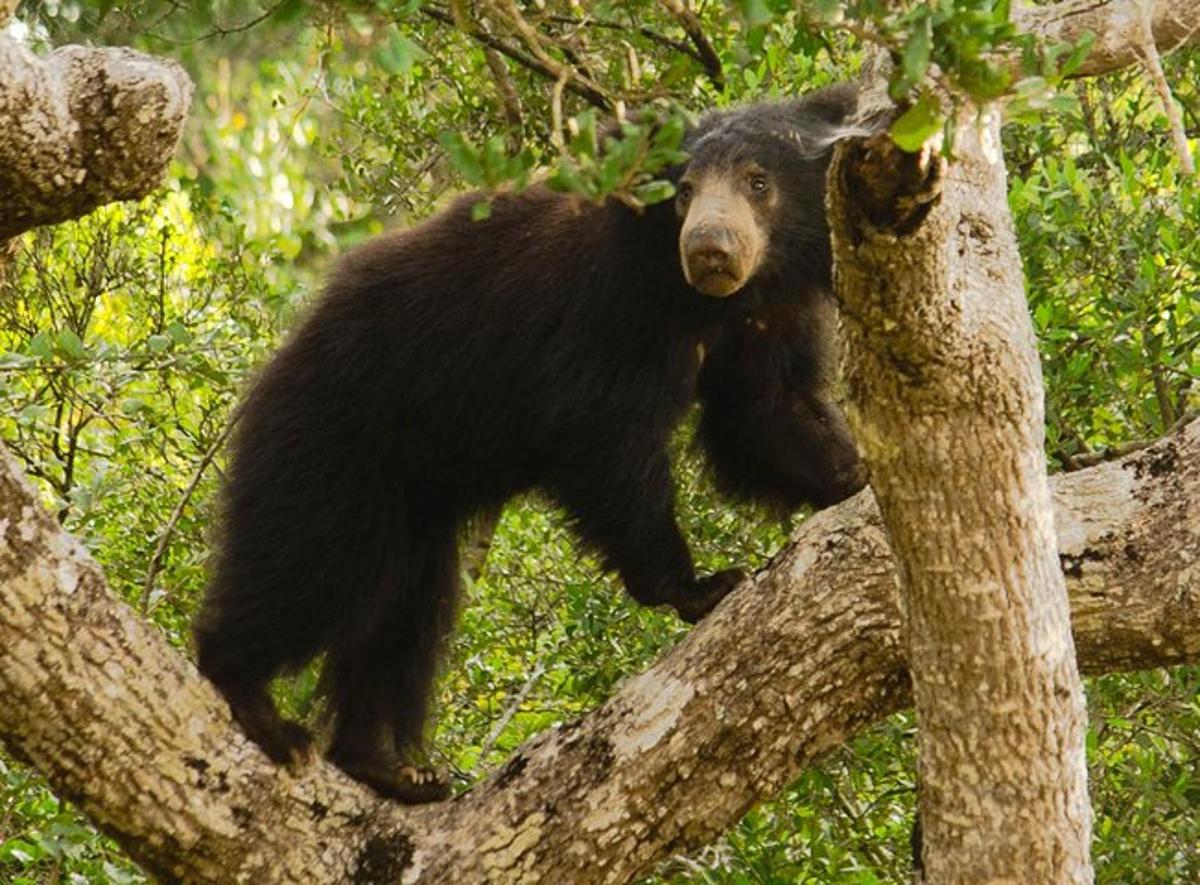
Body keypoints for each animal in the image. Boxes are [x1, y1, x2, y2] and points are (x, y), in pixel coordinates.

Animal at [192, 80, 868, 801]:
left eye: (758, 182)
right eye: (683, 190)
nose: (711, 250)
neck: (698, 299)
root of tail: (275, 361)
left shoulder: (767, 315)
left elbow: (765, 410)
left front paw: (852, 475)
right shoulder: (606, 308)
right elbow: (603, 433)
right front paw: (698, 583)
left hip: (413, 490)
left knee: (404, 612)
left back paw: (389, 765)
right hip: (336, 432)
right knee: (313, 560)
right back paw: (256, 702)